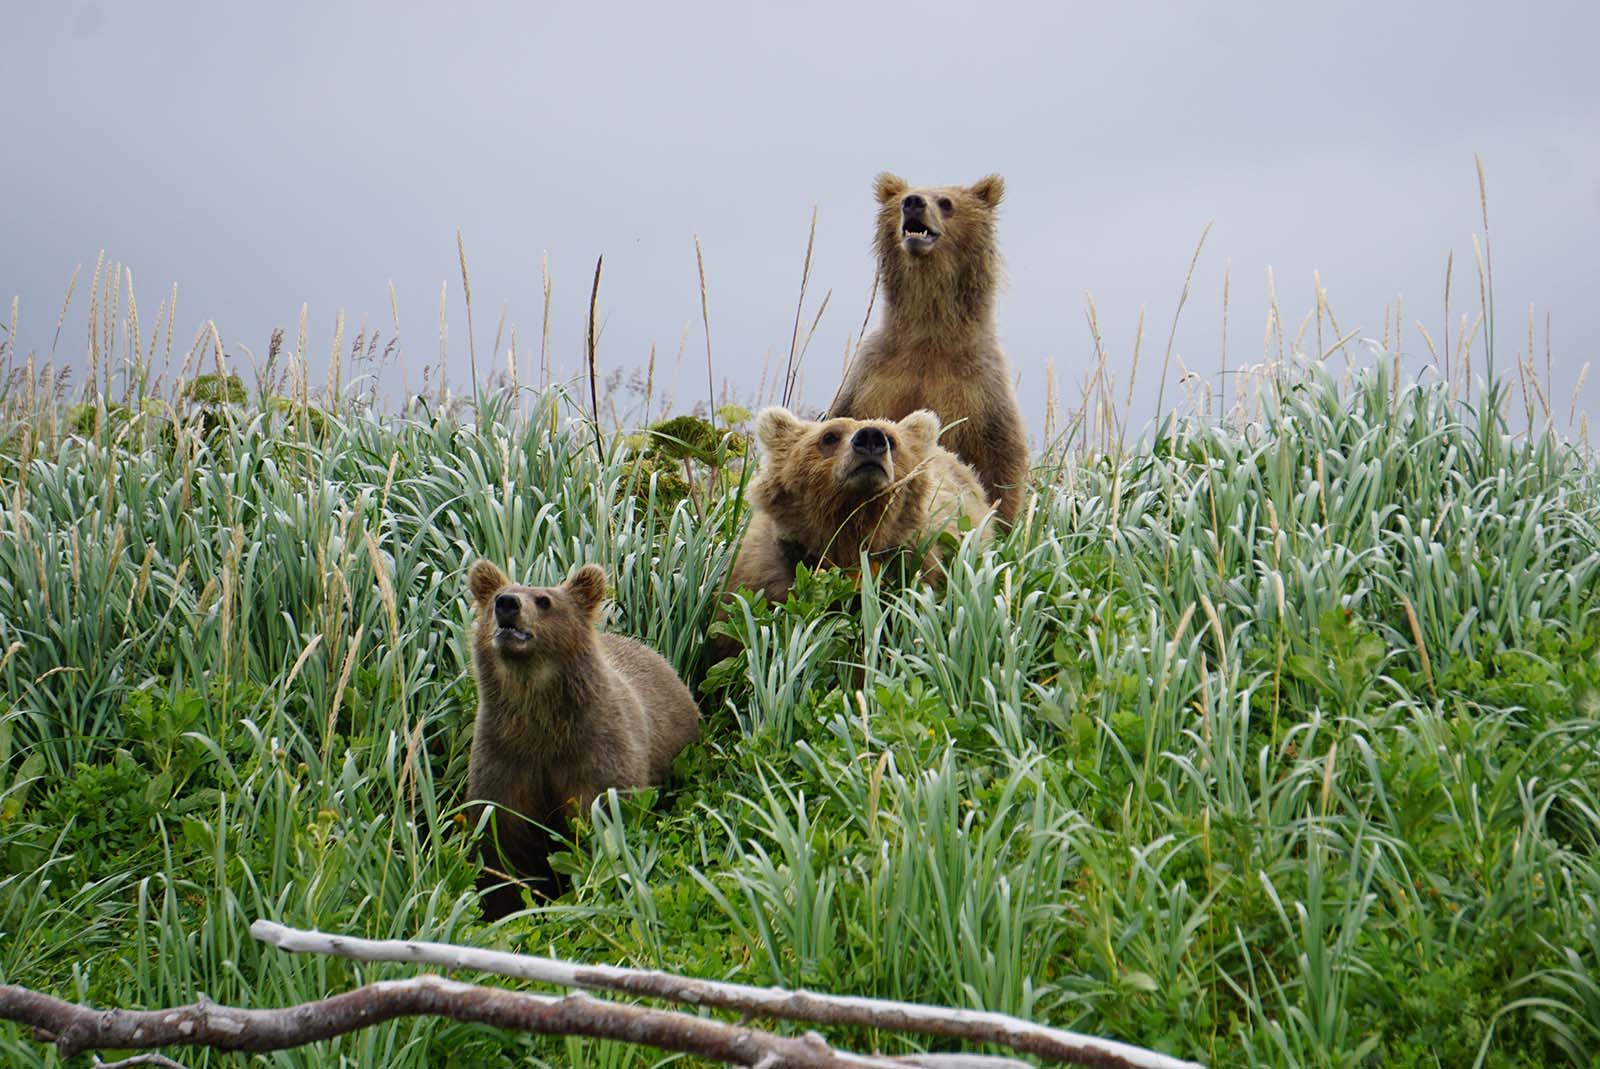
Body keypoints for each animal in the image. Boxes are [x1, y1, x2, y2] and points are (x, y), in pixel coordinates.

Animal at [466, 559, 699, 918]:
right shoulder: (506, 756)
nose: (507, 604)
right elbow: (501, 842)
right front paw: (503, 903)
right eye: (495, 598)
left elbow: (603, 821)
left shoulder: (594, 749)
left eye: (544, 600)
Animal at [826, 172, 1029, 525]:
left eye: (945, 202)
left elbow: (1001, 459)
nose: (913, 202)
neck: (929, 334)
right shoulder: (872, 377)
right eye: (904, 197)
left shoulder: (980, 389)